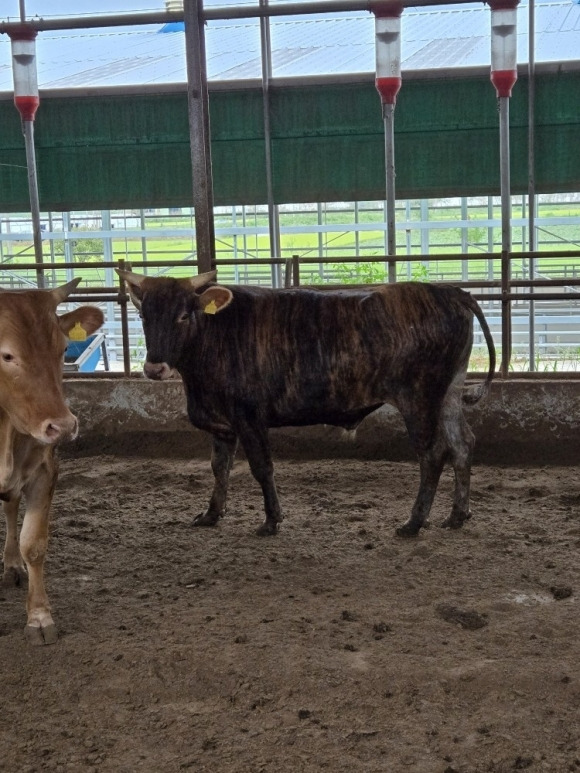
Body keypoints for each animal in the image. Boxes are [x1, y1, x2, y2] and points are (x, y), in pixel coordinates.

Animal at [0, 280, 104, 644]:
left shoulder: (44, 470)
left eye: (63, 348)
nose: (62, 425)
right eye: (6, 354)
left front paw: (39, 618)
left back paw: (11, 565)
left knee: (10, 507)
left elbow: (34, 543)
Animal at [120, 270, 496, 536]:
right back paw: (457, 515)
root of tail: (449, 292)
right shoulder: (223, 424)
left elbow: (261, 467)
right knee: (462, 444)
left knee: (433, 454)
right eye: (144, 317)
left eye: (184, 315)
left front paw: (271, 520)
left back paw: (414, 523)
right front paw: (211, 514)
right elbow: (219, 467)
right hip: (449, 395)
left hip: (419, 398)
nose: (154, 368)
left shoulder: (249, 417)